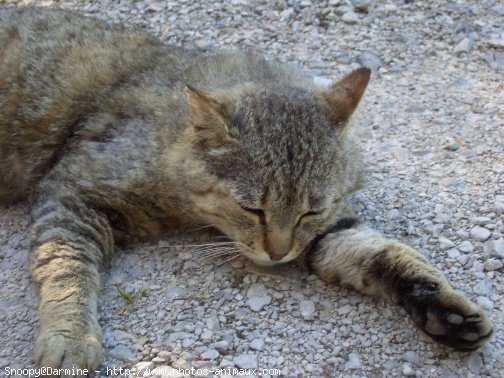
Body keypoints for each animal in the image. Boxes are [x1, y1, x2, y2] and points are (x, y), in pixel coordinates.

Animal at [0, 6, 492, 378]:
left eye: (310, 213)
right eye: (252, 209)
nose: (278, 254)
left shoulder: (326, 231)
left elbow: (382, 252)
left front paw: (445, 306)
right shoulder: (70, 191)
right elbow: (65, 264)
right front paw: (69, 335)